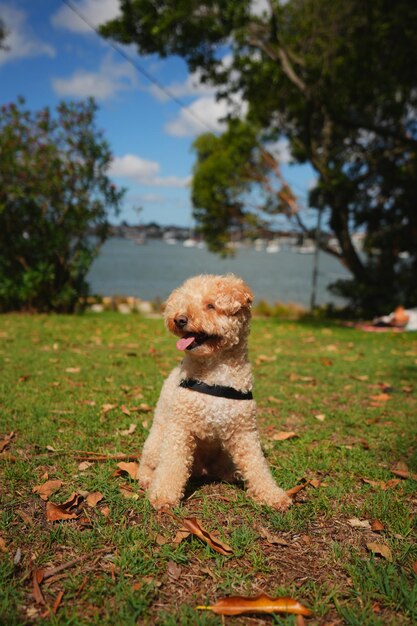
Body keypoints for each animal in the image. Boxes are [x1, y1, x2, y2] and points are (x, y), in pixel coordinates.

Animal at [138, 270, 290, 510]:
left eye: (210, 306)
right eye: (183, 303)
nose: (179, 319)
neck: (215, 374)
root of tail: (202, 470)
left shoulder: (245, 431)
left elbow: (257, 466)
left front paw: (272, 495)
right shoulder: (180, 428)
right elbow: (171, 465)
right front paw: (163, 495)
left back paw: (232, 474)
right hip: (156, 440)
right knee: (149, 463)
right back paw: (147, 479)